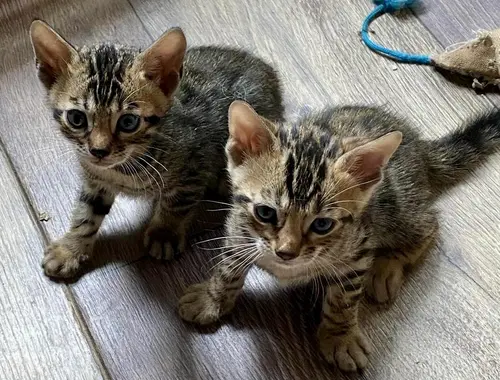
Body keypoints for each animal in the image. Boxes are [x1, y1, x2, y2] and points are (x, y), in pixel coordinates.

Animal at [29, 20, 284, 278]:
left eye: (128, 122)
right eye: (77, 118)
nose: (99, 151)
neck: (124, 166)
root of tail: (267, 70)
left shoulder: (194, 166)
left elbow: (176, 204)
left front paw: (164, 234)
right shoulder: (95, 180)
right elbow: (86, 211)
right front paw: (71, 247)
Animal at [180, 100, 500, 372]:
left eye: (322, 225)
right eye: (265, 212)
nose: (286, 252)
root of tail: (418, 146)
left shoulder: (358, 252)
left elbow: (343, 300)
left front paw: (339, 337)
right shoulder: (238, 231)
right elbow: (229, 268)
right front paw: (212, 298)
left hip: (397, 211)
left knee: (431, 225)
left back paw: (386, 267)